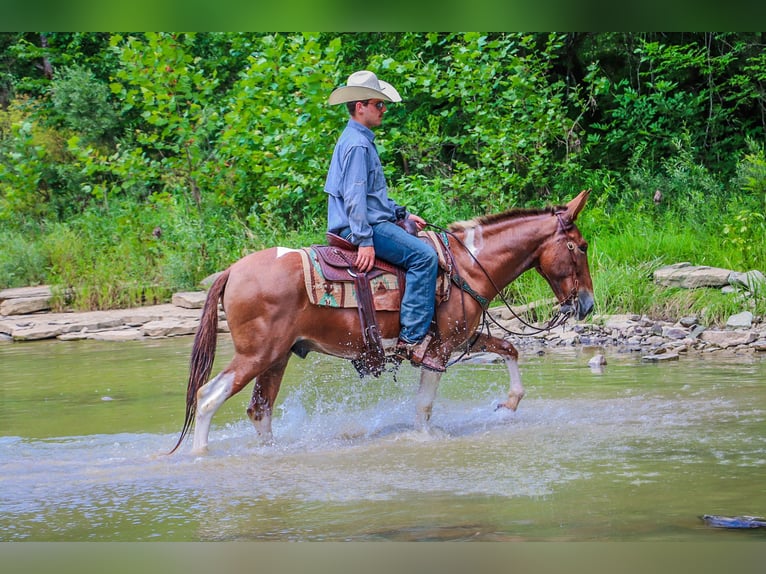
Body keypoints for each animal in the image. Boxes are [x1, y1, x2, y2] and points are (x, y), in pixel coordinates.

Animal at [170, 189, 594, 454]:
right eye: (581, 246)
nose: (587, 304)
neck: (468, 265)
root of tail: (232, 271)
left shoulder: (463, 338)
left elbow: (508, 349)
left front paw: (508, 403)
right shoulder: (438, 350)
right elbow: (424, 406)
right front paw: (425, 440)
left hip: (277, 357)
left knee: (260, 410)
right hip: (256, 354)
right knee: (208, 397)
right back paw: (201, 455)